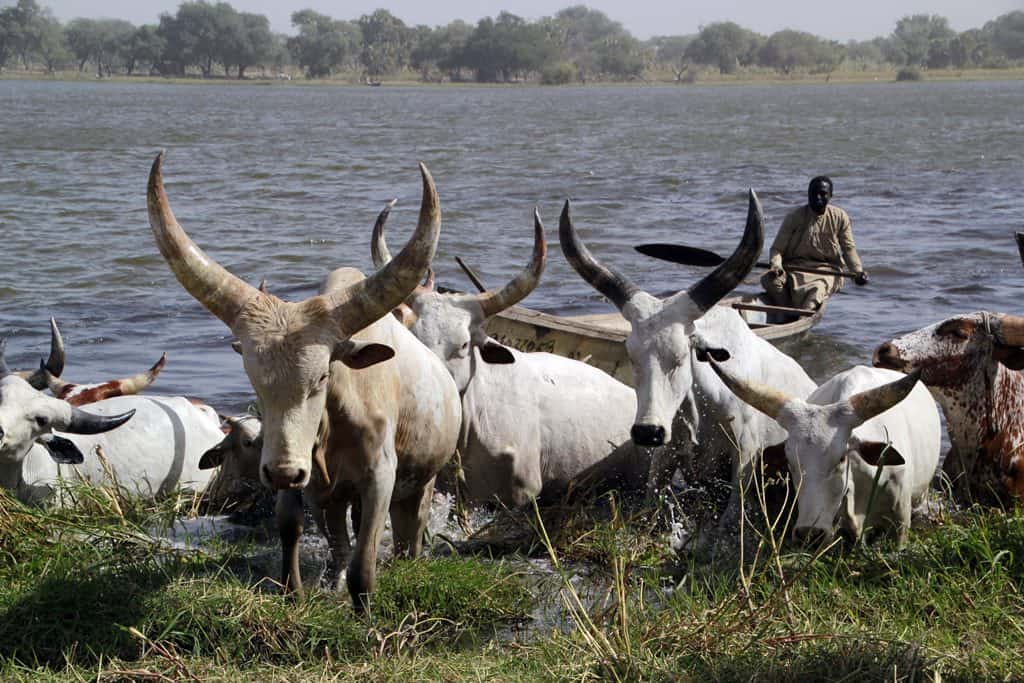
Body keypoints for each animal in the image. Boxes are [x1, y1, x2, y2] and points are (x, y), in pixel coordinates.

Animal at [147, 152, 461, 609]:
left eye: (323, 375)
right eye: (254, 379)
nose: (284, 471)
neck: (331, 427)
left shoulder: (380, 478)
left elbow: (364, 564)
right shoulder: (293, 470)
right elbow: (291, 525)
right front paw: (292, 590)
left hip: (422, 482)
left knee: (409, 534)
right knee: (341, 538)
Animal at [559, 192, 817, 531]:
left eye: (681, 356)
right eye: (631, 355)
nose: (648, 432)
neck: (703, 406)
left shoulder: (745, 457)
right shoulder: (665, 457)